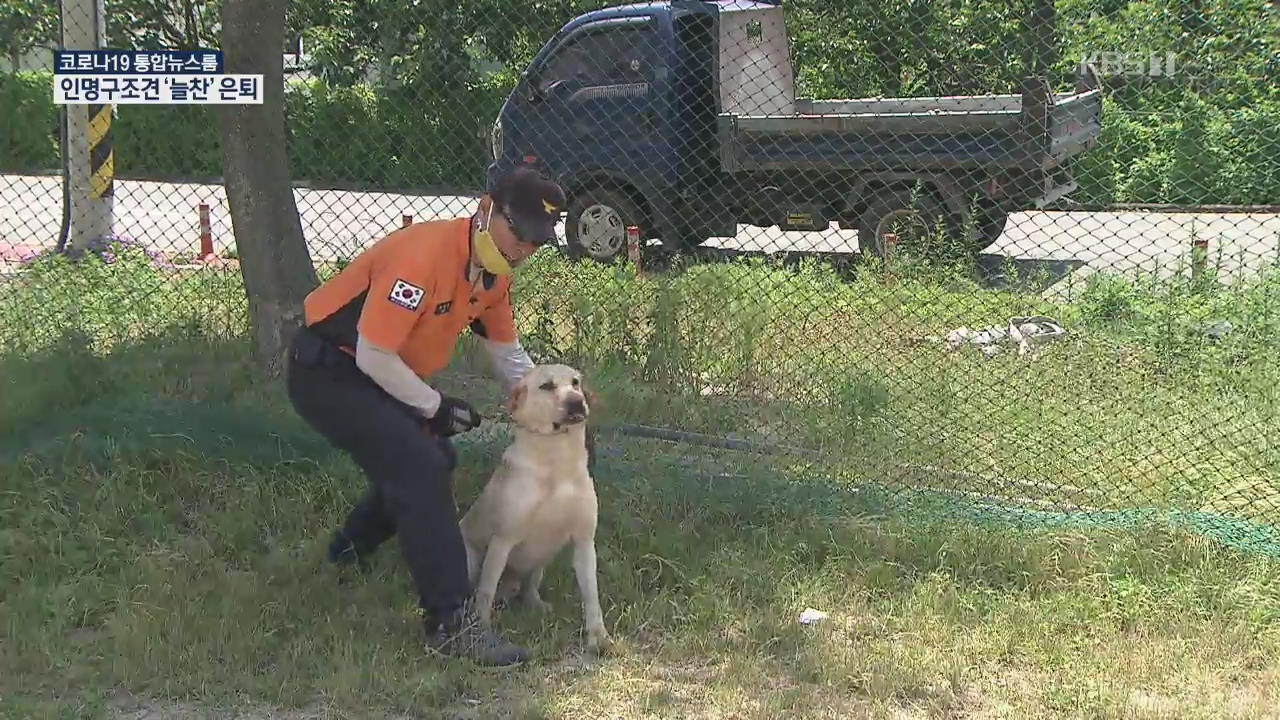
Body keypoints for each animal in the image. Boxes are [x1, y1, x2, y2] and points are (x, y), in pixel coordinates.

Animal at [460, 361, 609, 648]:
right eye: (546, 386)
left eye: (575, 383)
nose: (577, 402)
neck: (556, 462)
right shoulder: (502, 541)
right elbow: (485, 590)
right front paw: (483, 628)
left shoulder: (585, 542)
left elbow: (592, 595)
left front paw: (598, 635)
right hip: (470, 558)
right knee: (477, 588)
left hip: (540, 561)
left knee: (529, 588)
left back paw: (536, 604)